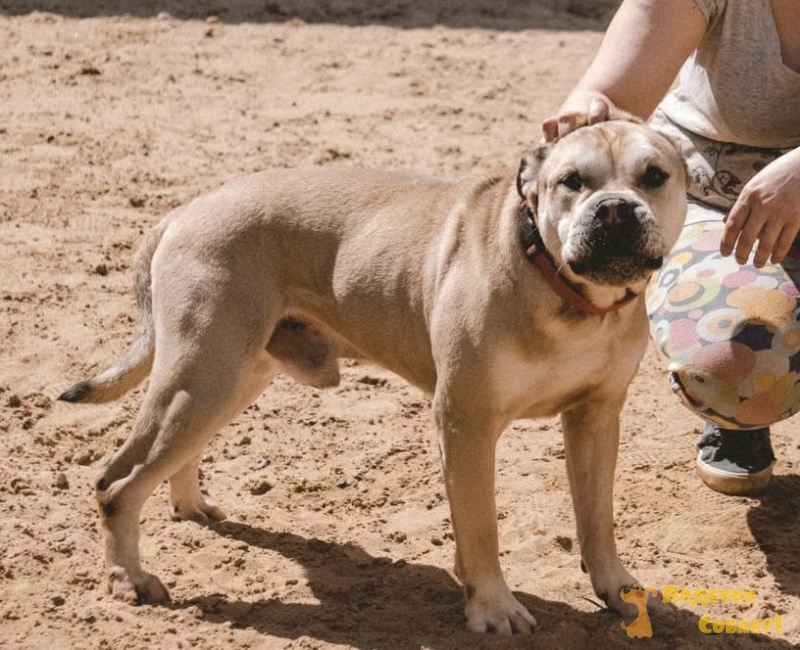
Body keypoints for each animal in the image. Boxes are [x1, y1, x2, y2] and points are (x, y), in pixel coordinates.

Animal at [59, 116, 687, 635]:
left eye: (654, 176)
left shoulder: (596, 419)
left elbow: (597, 518)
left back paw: (190, 507)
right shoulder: (466, 423)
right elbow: (481, 524)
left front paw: (620, 591)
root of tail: (185, 211)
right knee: (116, 483)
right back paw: (129, 581)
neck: (562, 289)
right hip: (203, 375)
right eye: (571, 182)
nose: (614, 209)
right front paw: (492, 607)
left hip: (228, 375)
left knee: (173, 456)